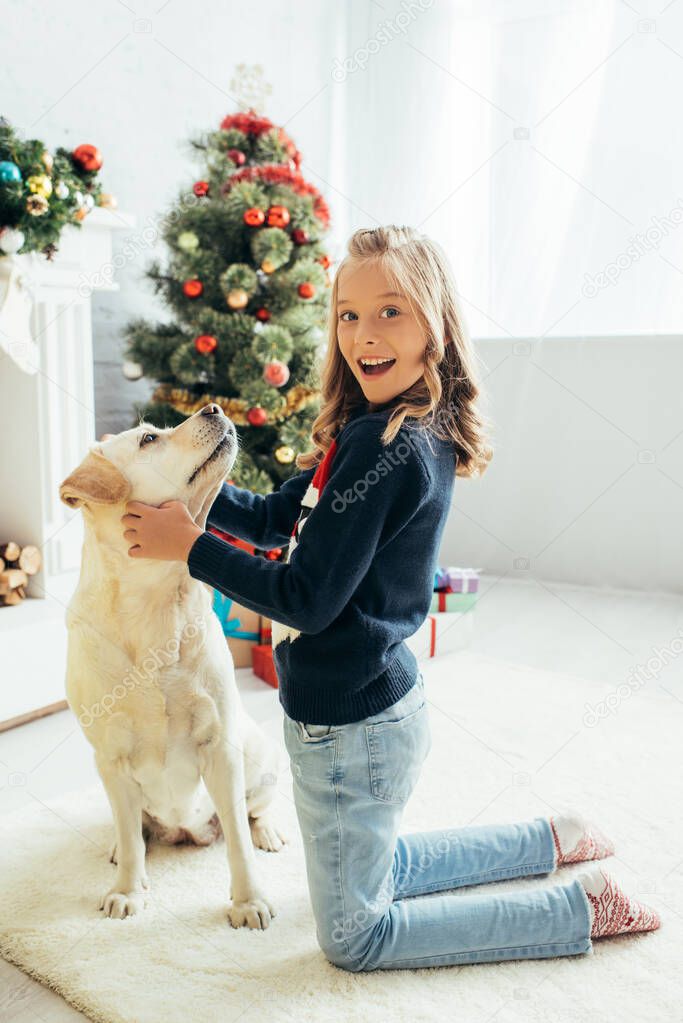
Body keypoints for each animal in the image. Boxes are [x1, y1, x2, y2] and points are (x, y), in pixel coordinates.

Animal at [58, 401, 282, 928]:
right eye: (148, 440)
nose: (214, 406)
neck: (152, 605)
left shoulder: (221, 748)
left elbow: (238, 843)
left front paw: (249, 902)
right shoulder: (111, 759)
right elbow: (131, 836)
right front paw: (127, 891)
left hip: (260, 761)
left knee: (254, 813)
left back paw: (268, 832)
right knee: (132, 831)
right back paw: (121, 851)